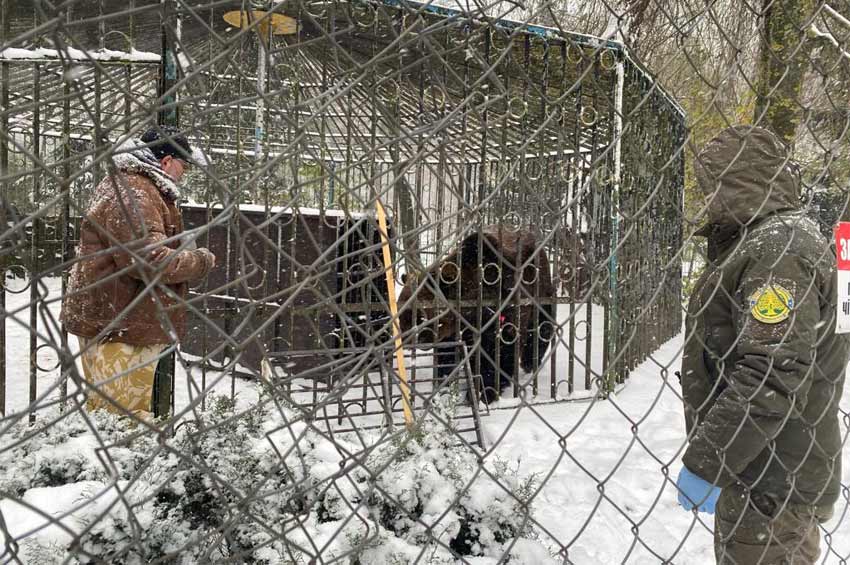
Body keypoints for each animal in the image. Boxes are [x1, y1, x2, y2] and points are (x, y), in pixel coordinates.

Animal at [398, 223, 556, 404]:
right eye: (401, 313)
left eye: (419, 316)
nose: (405, 339)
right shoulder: (456, 331)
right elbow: (448, 354)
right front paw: (444, 381)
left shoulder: (501, 313)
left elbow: (497, 354)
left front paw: (484, 392)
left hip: (541, 290)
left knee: (540, 328)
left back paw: (530, 363)